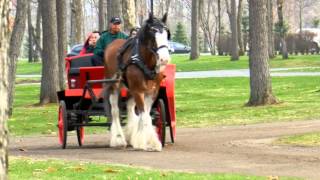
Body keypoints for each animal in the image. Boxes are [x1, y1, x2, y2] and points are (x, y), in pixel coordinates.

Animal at [104, 12, 171, 151]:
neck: (143, 60)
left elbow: (145, 114)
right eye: (153, 34)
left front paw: (146, 140)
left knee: (130, 107)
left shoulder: (152, 91)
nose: (164, 59)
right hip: (114, 85)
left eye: (166, 33)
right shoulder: (138, 90)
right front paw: (146, 142)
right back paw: (118, 138)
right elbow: (144, 115)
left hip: (131, 88)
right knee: (115, 110)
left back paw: (130, 134)